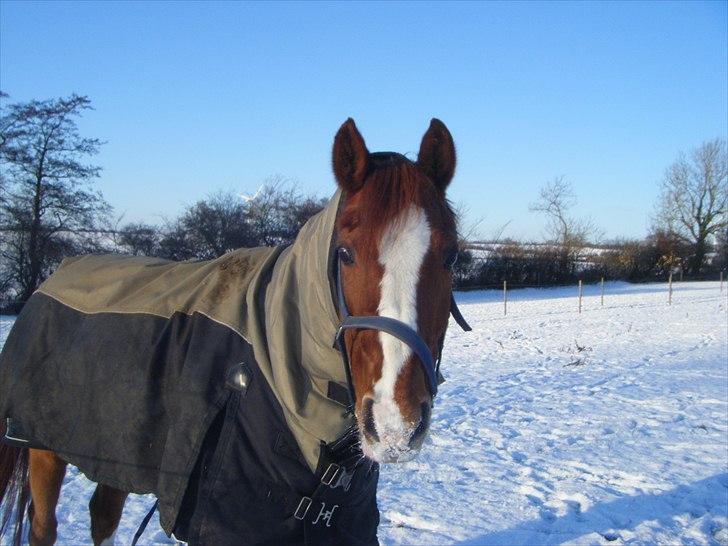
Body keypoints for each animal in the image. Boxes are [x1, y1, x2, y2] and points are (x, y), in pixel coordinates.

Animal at [0, 117, 470, 540]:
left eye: (450, 255)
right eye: (345, 253)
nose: (395, 424)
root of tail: (55, 276)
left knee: (103, 514)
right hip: (42, 448)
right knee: (44, 527)